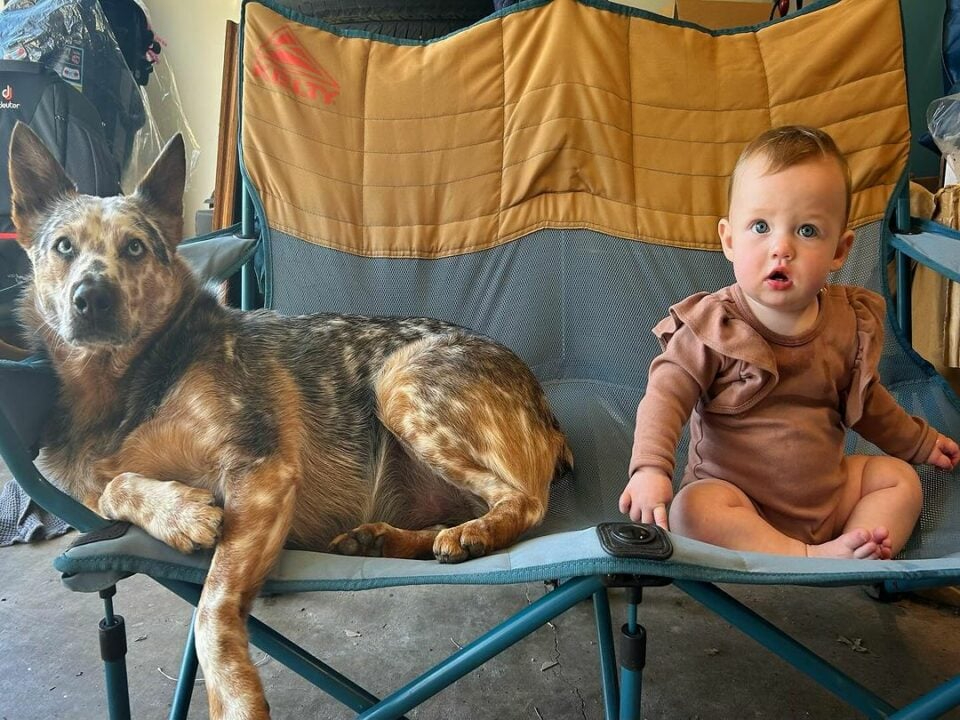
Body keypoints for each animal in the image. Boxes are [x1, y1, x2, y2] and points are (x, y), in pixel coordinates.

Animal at [7, 121, 572, 716]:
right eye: (63, 247)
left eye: (135, 247)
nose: (91, 298)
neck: (125, 386)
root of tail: (549, 414)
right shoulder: (96, 491)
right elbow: (116, 487)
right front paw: (178, 511)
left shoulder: (261, 471)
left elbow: (211, 609)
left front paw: (234, 698)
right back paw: (383, 541)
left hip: (401, 385)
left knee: (524, 502)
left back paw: (473, 534)